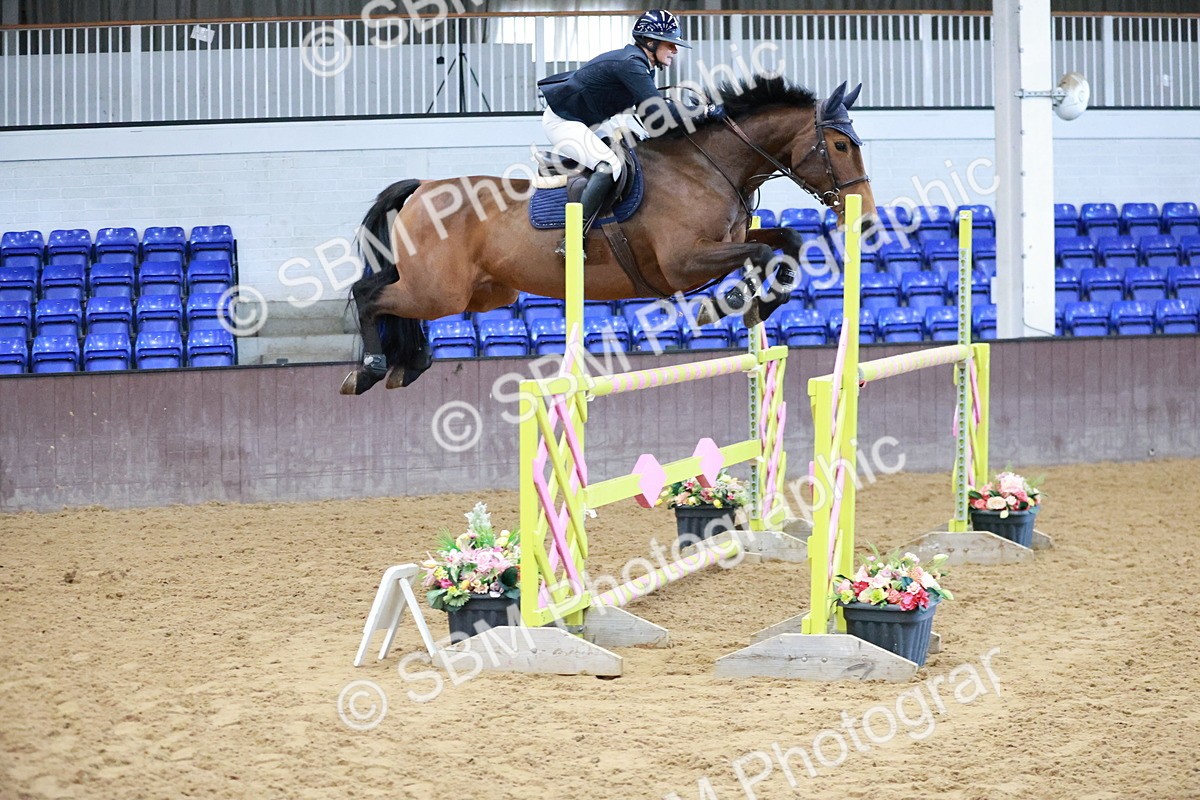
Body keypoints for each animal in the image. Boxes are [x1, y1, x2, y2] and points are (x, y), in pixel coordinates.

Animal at [341, 75, 877, 395]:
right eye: (839, 145)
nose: (868, 218)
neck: (708, 167)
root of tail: (423, 187)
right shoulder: (683, 263)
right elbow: (765, 251)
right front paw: (729, 303)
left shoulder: (725, 245)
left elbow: (787, 245)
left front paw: (756, 304)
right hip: (440, 291)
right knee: (369, 294)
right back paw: (371, 368)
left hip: (481, 292)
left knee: (388, 295)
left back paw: (409, 363)